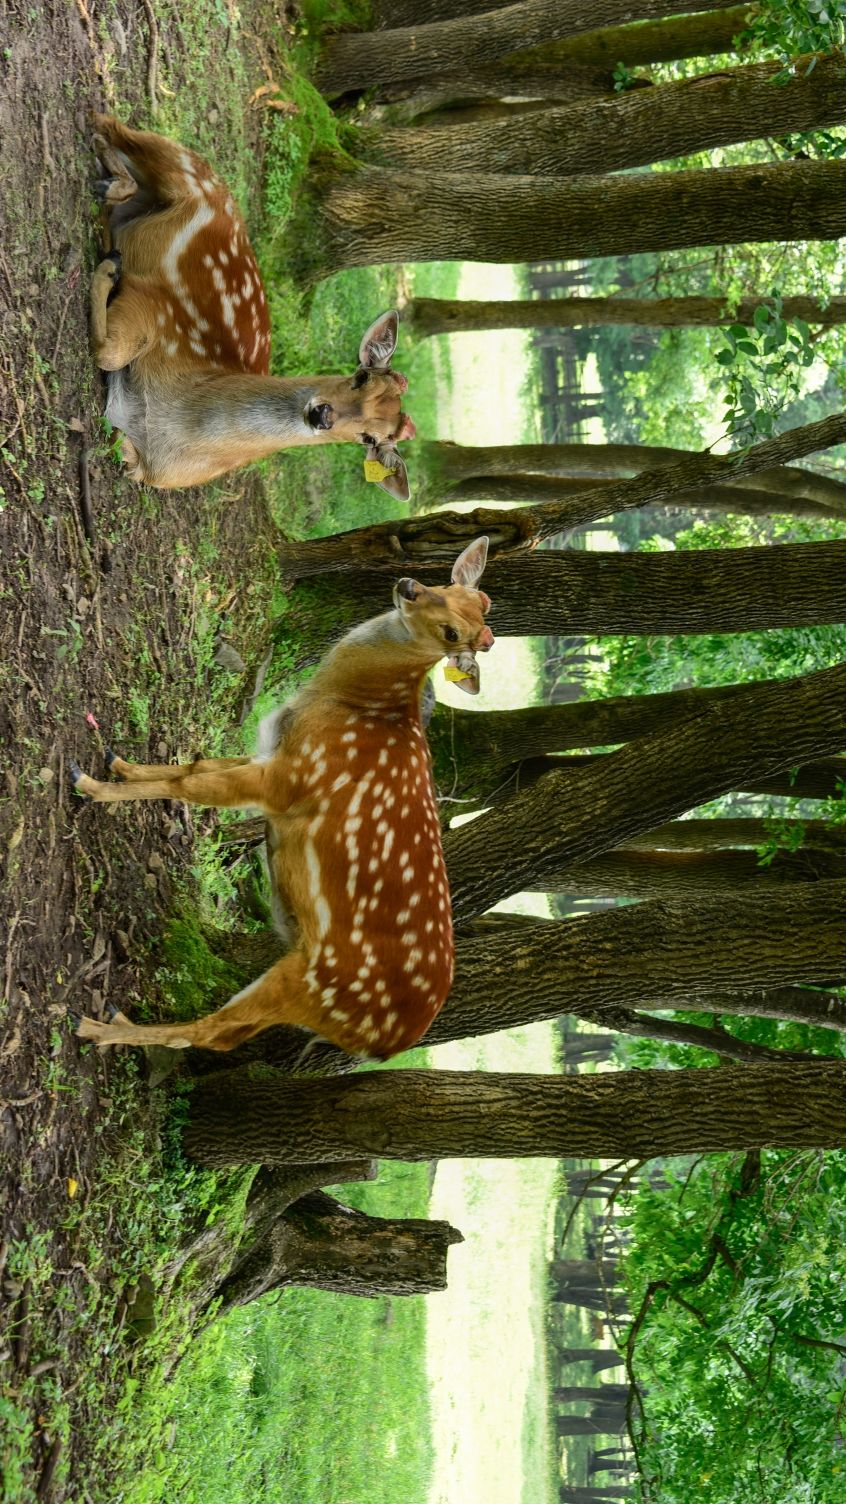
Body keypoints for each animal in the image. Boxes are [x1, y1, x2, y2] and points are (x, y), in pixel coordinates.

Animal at [72, 541, 493, 1058]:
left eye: (453, 632)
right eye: (449, 586)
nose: (409, 586)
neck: (354, 704)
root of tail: (387, 1043)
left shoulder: (291, 780)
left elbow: (189, 787)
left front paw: (92, 786)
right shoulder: (269, 751)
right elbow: (195, 766)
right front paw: (119, 764)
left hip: (314, 983)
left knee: (209, 1032)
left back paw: (98, 1026)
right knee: (228, 1035)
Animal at [90, 114, 412, 499]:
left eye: (370, 439)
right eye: (361, 376)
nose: (323, 415)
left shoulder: (146, 467)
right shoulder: (156, 304)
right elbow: (108, 352)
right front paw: (110, 266)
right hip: (180, 168)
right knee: (113, 125)